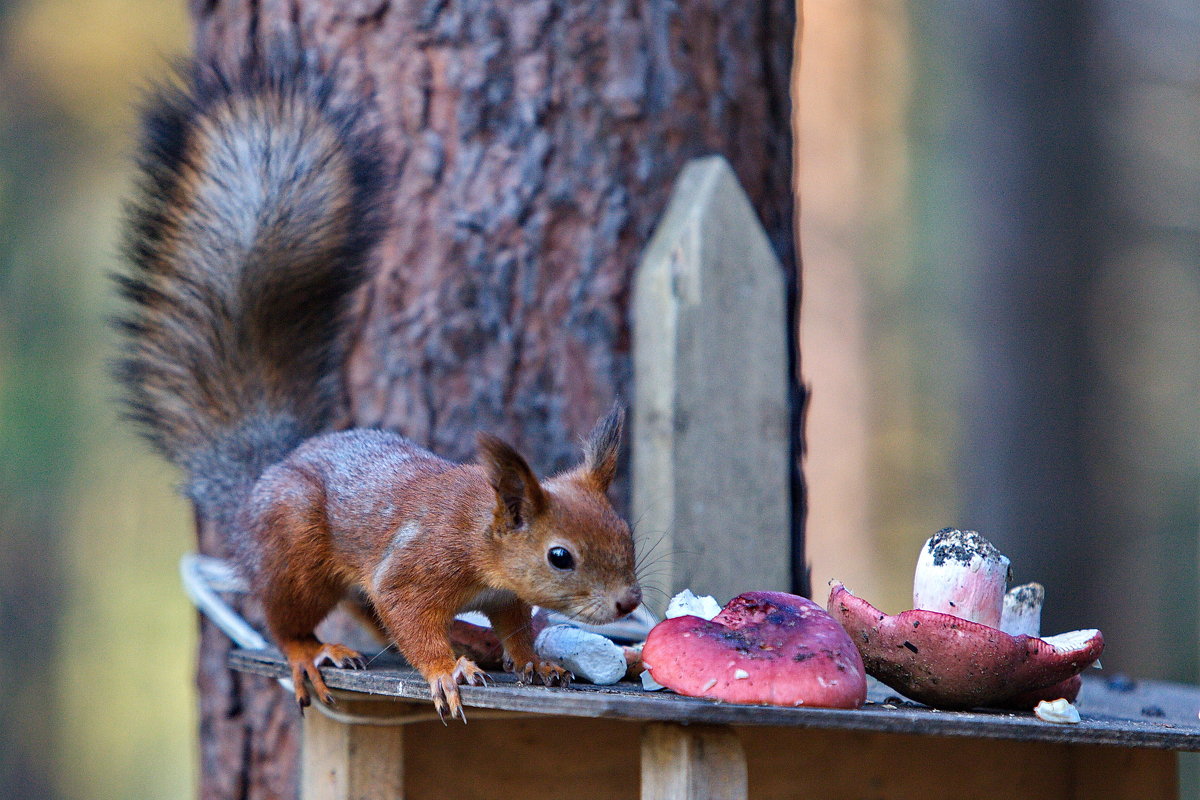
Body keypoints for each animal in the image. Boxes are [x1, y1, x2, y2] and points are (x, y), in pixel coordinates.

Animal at [115, 53, 643, 724]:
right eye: (560, 556)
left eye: (625, 530)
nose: (628, 603)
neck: (479, 531)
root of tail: (261, 480)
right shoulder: (414, 566)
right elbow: (405, 614)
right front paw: (445, 671)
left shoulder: (501, 593)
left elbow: (514, 624)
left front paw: (533, 661)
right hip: (294, 550)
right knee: (287, 615)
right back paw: (314, 651)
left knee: (362, 607)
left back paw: (472, 640)